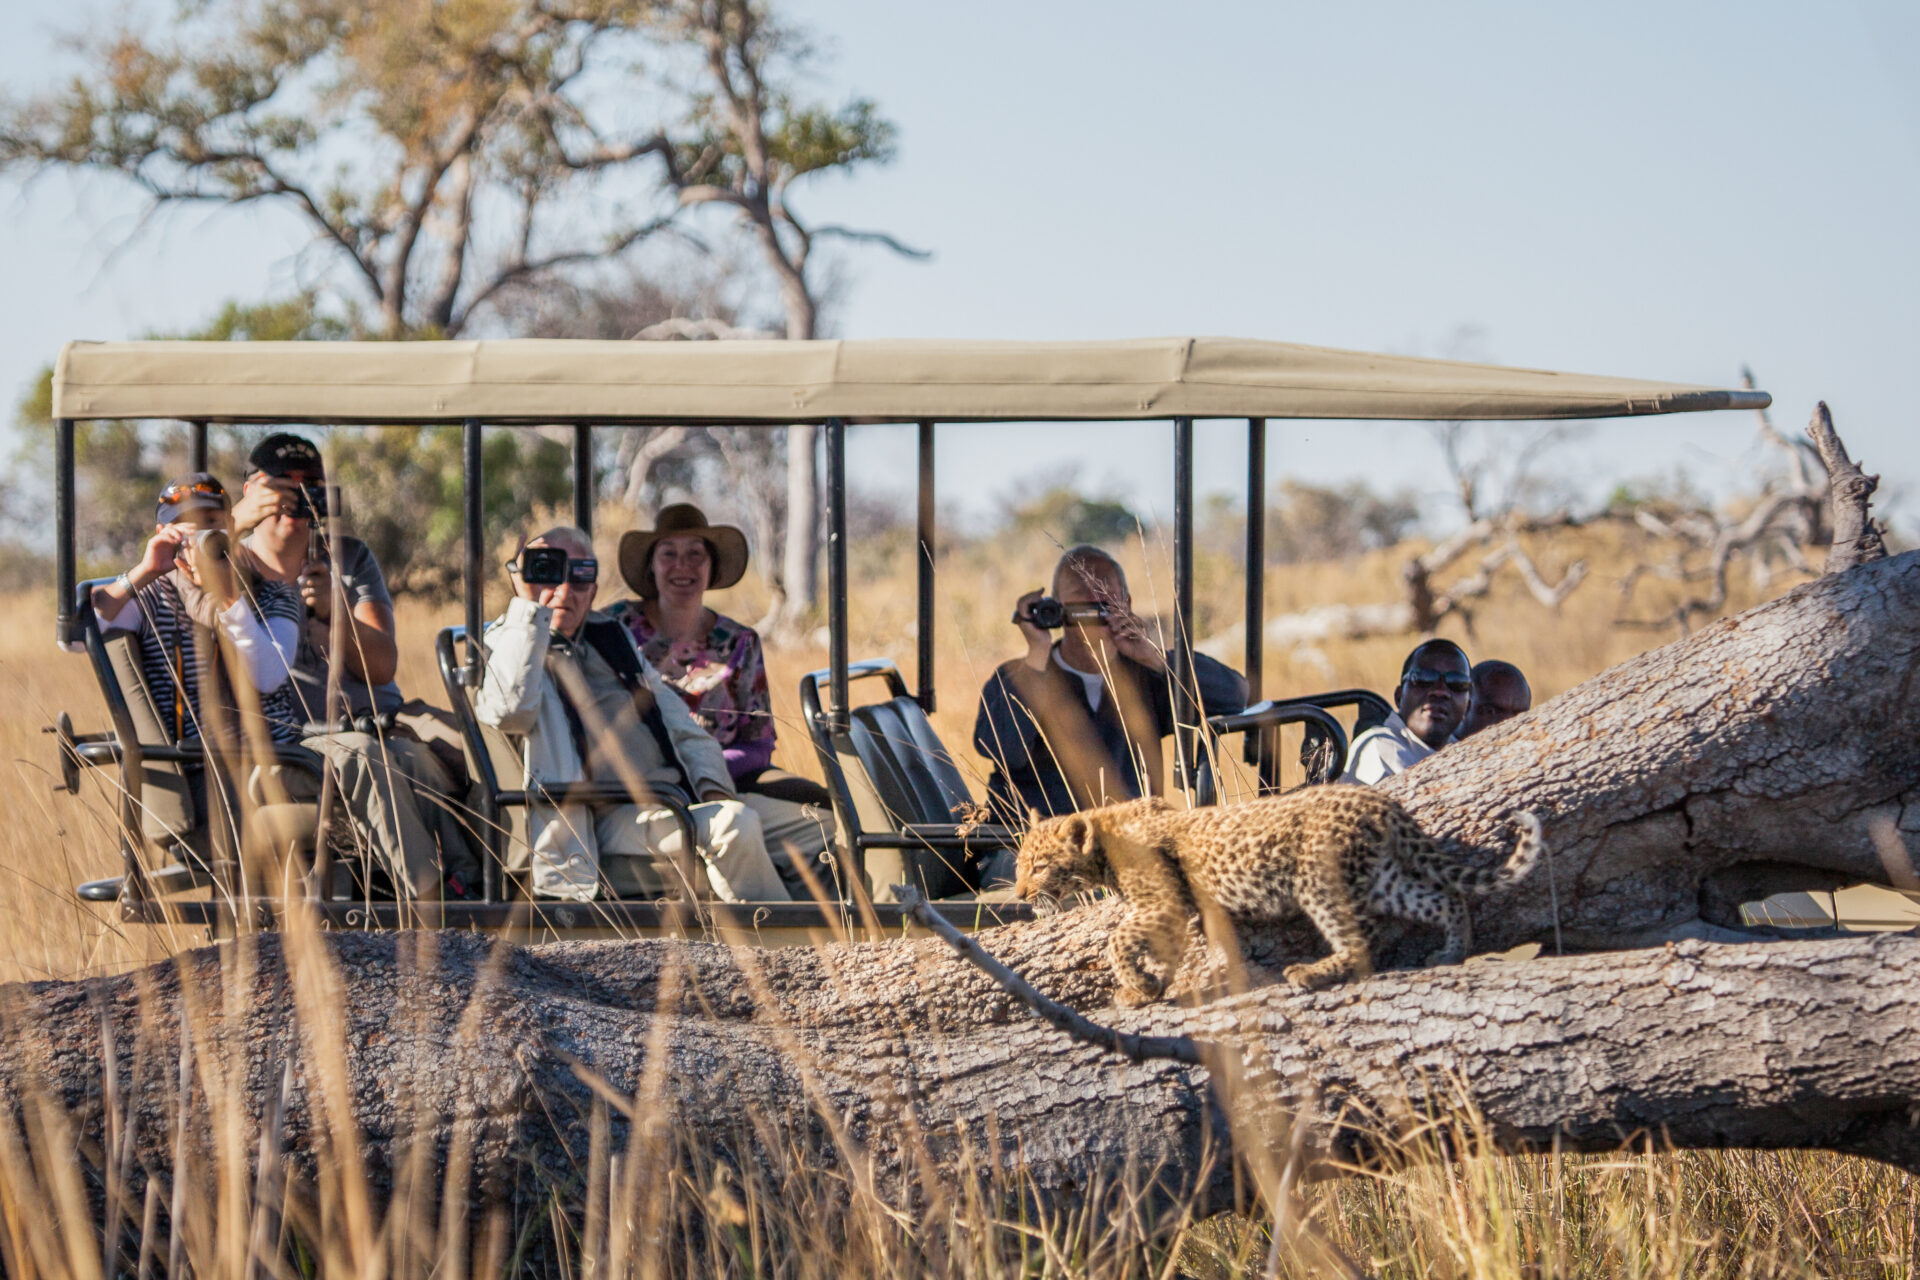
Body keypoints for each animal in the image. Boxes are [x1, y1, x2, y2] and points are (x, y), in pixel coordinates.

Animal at [1014, 786, 1544, 1004]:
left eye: (1039, 866)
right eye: (1018, 864)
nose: (1018, 892)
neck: (1103, 839)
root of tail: (1381, 802)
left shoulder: (1164, 904)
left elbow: (1117, 940)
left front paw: (1138, 984)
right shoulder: (1173, 912)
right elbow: (1163, 951)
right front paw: (1147, 989)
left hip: (1319, 881)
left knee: (1360, 938)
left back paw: (1310, 973)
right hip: (1384, 877)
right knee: (1444, 900)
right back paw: (1451, 952)